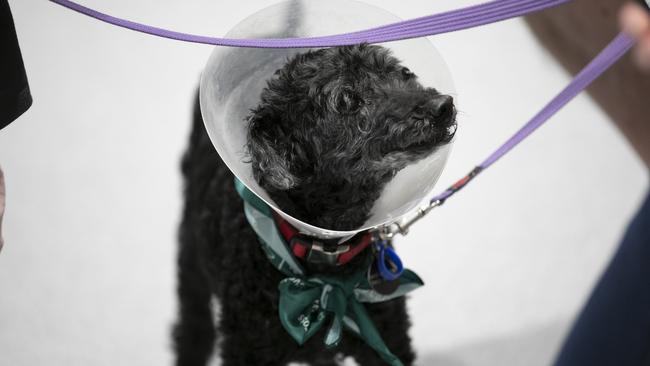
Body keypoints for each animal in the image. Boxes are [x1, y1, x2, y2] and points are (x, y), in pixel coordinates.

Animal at [173, 44, 456, 364]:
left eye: (402, 72)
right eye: (348, 100)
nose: (442, 106)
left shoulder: (389, 338)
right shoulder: (246, 348)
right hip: (191, 265)